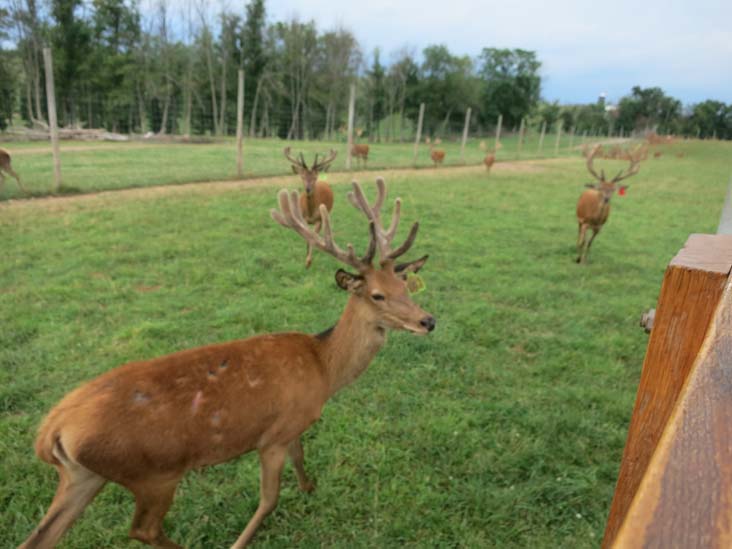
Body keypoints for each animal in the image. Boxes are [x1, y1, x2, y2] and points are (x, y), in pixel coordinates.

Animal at [19, 177, 435, 549]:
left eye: (406, 286)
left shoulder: (294, 424)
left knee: (39, 537)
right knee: (143, 529)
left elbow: (301, 456)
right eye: (377, 295)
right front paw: (243, 540)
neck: (324, 367)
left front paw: (310, 488)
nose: (427, 320)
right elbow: (268, 500)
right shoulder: (272, 435)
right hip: (153, 474)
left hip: (82, 476)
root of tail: (50, 432)